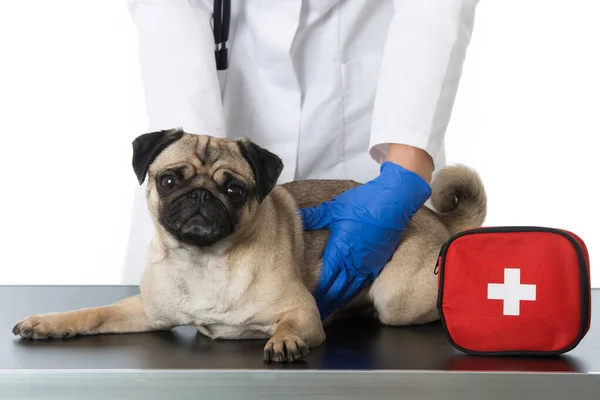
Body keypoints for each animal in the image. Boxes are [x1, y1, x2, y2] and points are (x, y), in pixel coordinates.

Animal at [11, 128, 486, 362]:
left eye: (234, 190)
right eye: (170, 181)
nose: (202, 196)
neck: (203, 261)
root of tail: (434, 215)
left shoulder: (301, 311)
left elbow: (290, 324)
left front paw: (284, 342)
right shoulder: (147, 310)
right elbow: (94, 312)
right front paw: (49, 323)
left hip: (396, 299)